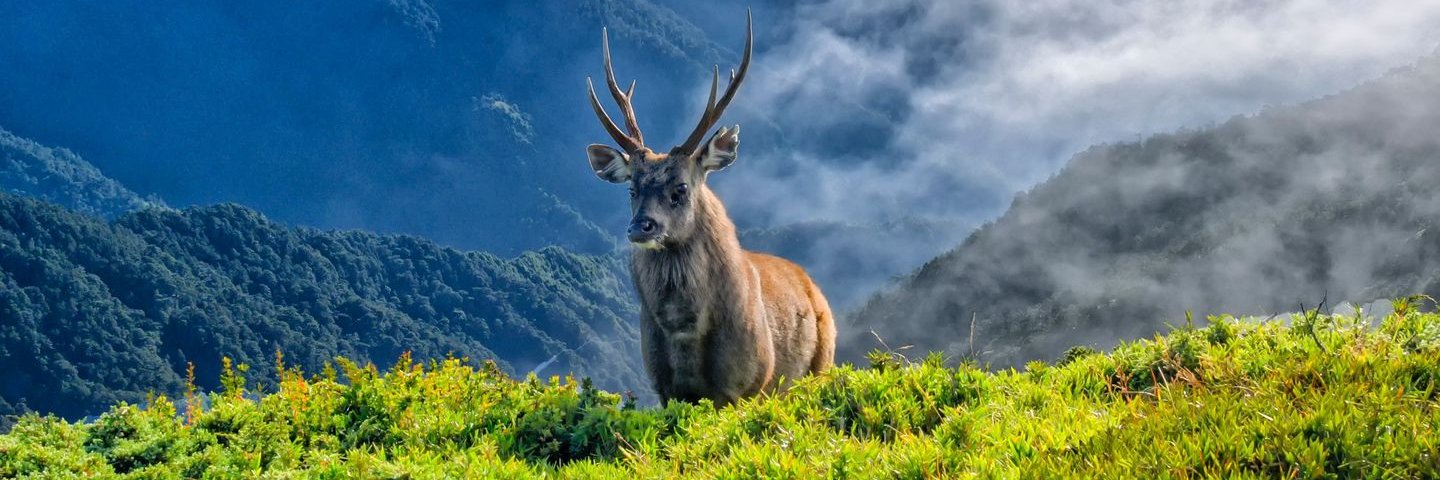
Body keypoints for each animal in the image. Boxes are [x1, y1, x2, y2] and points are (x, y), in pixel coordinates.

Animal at [582, 11, 835, 406]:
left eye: (680, 189)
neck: (685, 336)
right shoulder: (664, 387)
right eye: (632, 189)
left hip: (819, 368)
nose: (641, 227)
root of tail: (815, 288)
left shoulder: (749, 385)